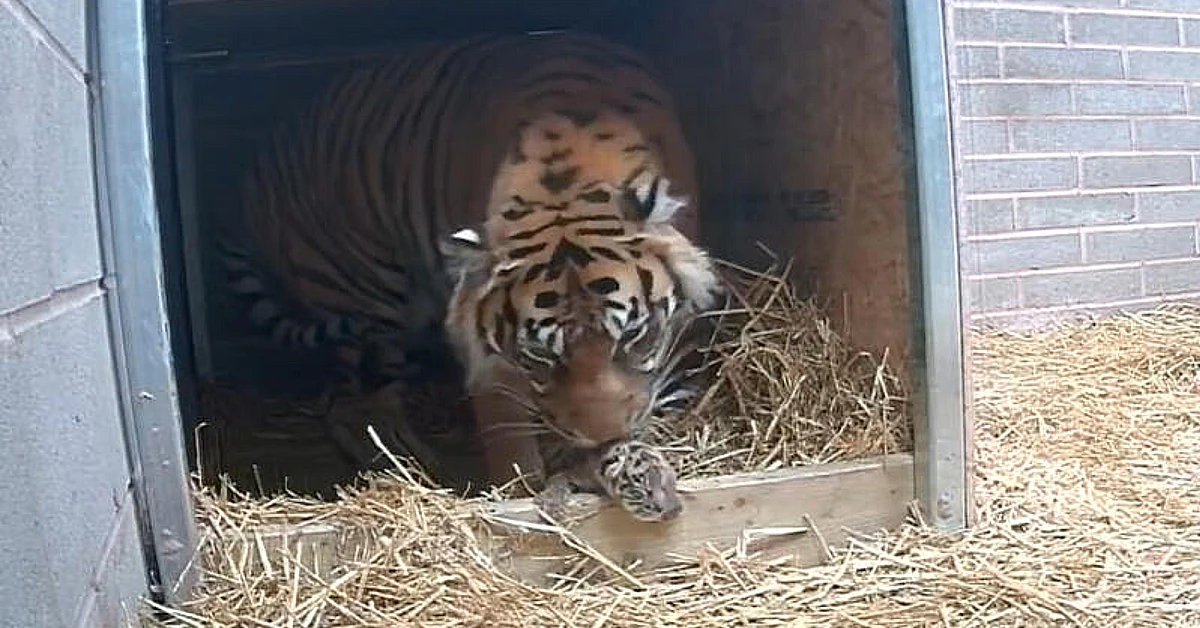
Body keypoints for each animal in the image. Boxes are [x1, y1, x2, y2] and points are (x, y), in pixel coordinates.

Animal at [219, 29, 715, 492]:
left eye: (633, 335)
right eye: (540, 354)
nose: (603, 439)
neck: (568, 179)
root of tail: (249, 181)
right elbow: (505, 423)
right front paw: (519, 488)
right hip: (364, 298)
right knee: (354, 407)